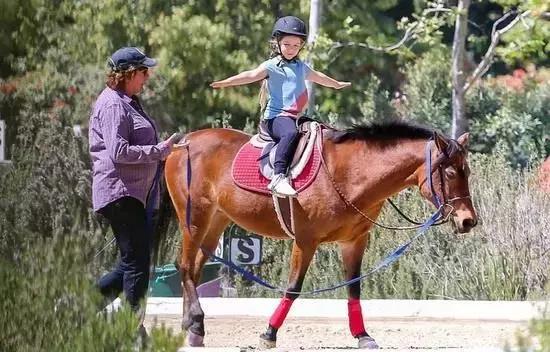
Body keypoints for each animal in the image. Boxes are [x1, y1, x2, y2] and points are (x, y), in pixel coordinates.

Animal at [164, 121, 478, 350]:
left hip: (216, 221)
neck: (349, 174)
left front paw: (362, 335)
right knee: (185, 267)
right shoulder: (306, 241)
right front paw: (269, 333)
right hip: (194, 219)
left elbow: (354, 287)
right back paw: (195, 324)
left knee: (193, 269)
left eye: (468, 171)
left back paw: (191, 328)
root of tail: (183, 142)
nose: (468, 221)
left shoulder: (354, 241)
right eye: (451, 173)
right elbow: (293, 288)